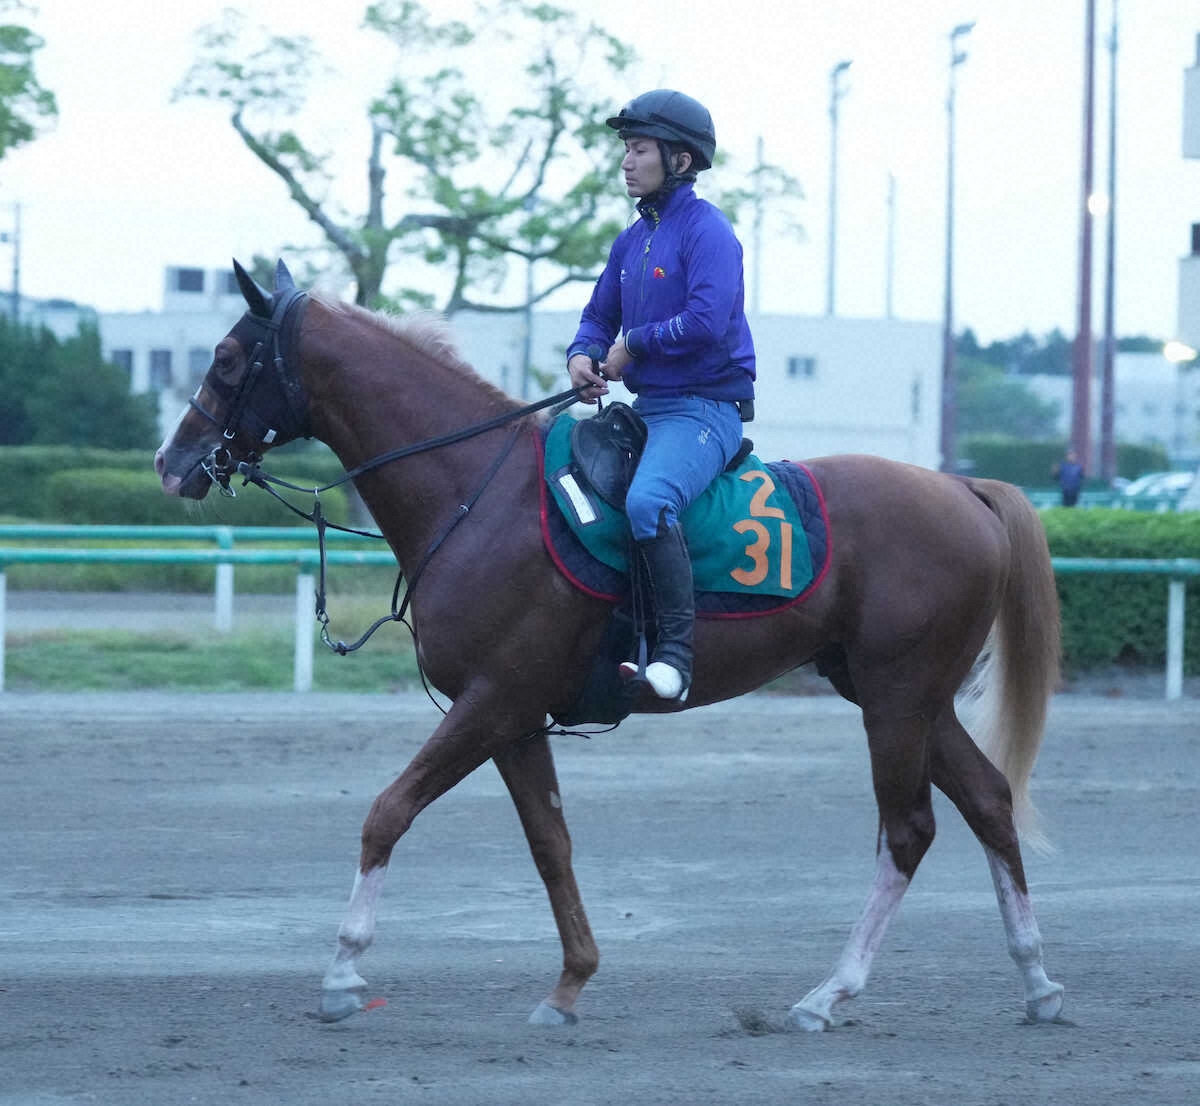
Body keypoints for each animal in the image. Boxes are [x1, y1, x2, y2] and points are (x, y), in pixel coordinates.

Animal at [154, 259, 1065, 1031]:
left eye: (227, 359)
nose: (172, 461)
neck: (479, 492)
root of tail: (963, 489)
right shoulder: (515, 720)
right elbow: (549, 845)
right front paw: (570, 983)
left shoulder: (493, 702)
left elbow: (388, 812)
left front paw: (344, 972)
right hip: (908, 698)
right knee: (989, 803)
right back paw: (1036, 980)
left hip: (896, 701)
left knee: (908, 832)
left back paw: (830, 993)